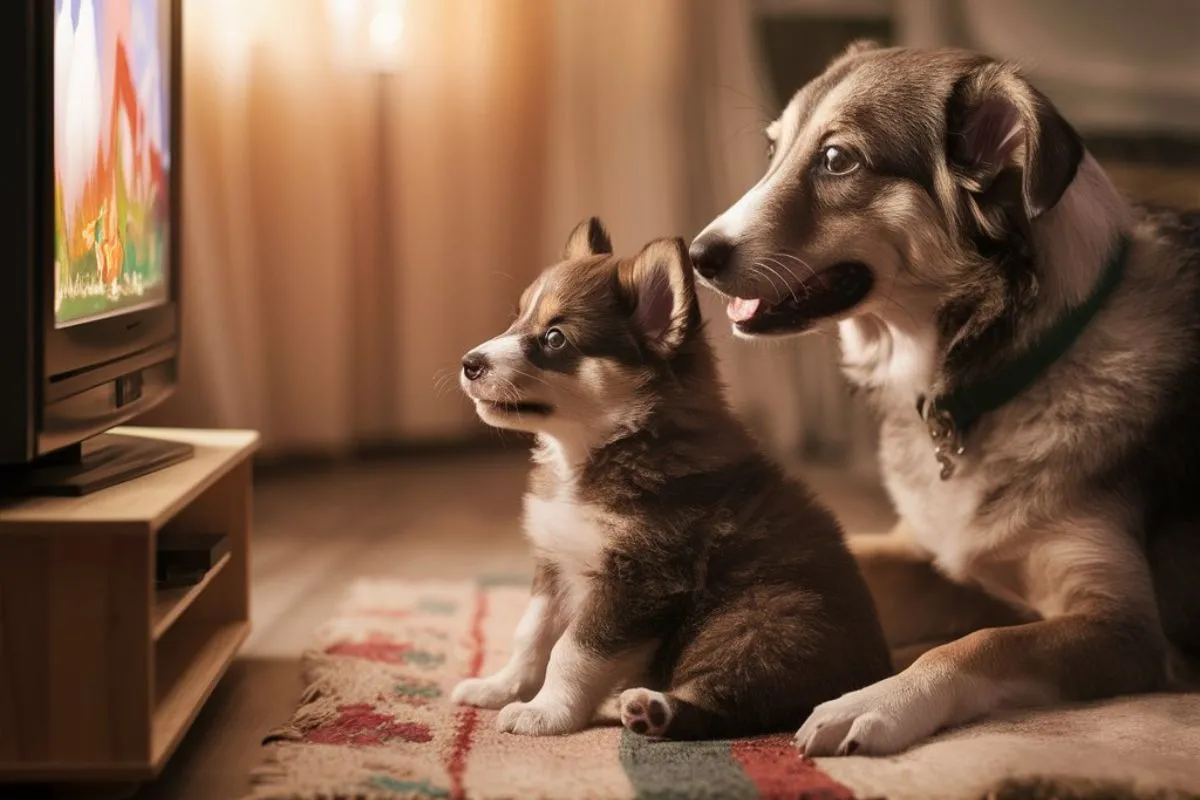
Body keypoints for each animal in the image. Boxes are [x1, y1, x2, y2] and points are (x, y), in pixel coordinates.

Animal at [451, 217, 892, 738]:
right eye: (517, 320)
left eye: (555, 338)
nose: (468, 363)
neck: (596, 452)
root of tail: (875, 671)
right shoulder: (555, 562)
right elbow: (530, 634)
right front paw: (499, 688)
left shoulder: (639, 580)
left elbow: (573, 652)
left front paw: (545, 713)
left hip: (756, 619)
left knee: (735, 703)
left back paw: (652, 708)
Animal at [691, 40, 1200, 758]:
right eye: (772, 149)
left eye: (837, 159)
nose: (697, 255)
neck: (995, 375)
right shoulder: (928, 555)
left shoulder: (1123, 628)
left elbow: (978, 645)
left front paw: (875, 701)